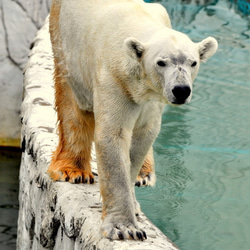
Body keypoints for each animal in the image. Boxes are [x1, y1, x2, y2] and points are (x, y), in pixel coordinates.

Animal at [47, 0, 218, 241]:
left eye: (193, 62)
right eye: (161, 62)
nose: (181, 90)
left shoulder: (153, 98)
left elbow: (143, 137)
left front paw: (133, 203)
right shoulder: (114, 79)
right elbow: (113, 136)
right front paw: (125, 228)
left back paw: (144, 175)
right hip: (65, 43)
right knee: (73, 104)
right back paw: (73, 170)